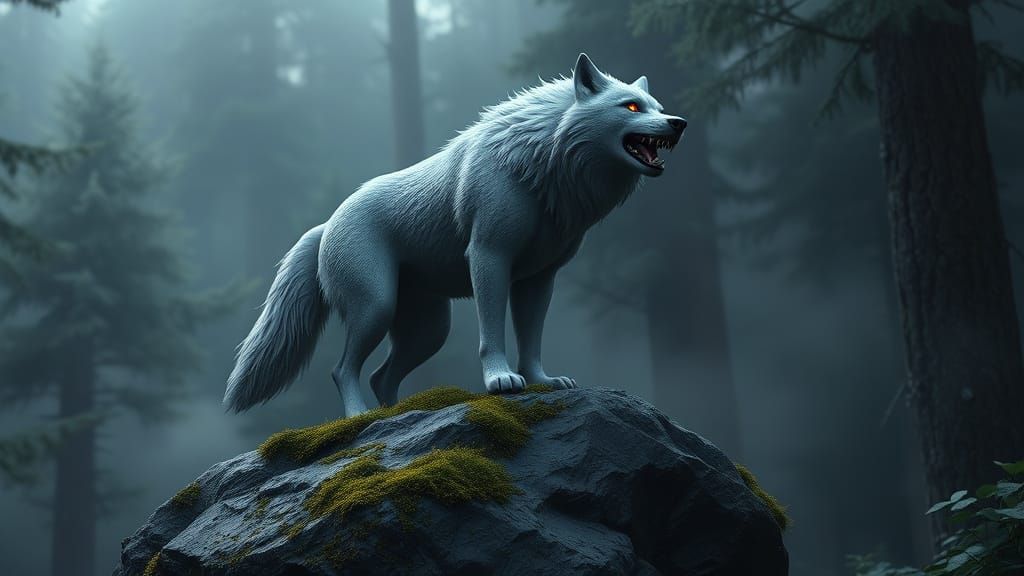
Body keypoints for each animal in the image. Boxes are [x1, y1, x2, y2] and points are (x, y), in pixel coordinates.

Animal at [224, 54, 686, 417]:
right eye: (631, 105)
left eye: (658, 106)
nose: (678, 122)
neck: (541, 168)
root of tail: (325, 225)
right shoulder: (489, 256)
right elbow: (492, 332)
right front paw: (501, 380)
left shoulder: (540, 278)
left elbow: (531, 339)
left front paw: (541, 380)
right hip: (377, 306)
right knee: (342, 370)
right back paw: (358, 417)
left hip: (429, 331)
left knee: (380, 377)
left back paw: (399, 417)